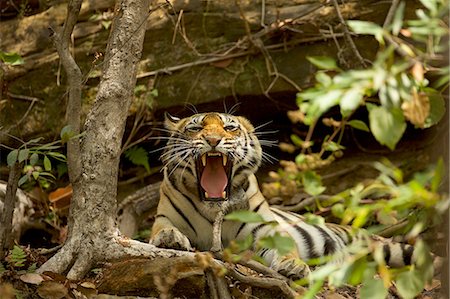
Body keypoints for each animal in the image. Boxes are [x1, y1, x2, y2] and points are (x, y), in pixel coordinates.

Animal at [150, 111, 436, 280]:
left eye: (229, 128)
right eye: (194, 129)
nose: (212, 140)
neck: (214, 208)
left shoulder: (266, 230)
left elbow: (286, 249)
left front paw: (294, 266)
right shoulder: (165, 217)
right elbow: (164, 229)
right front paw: (170, 238)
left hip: (386, 247)